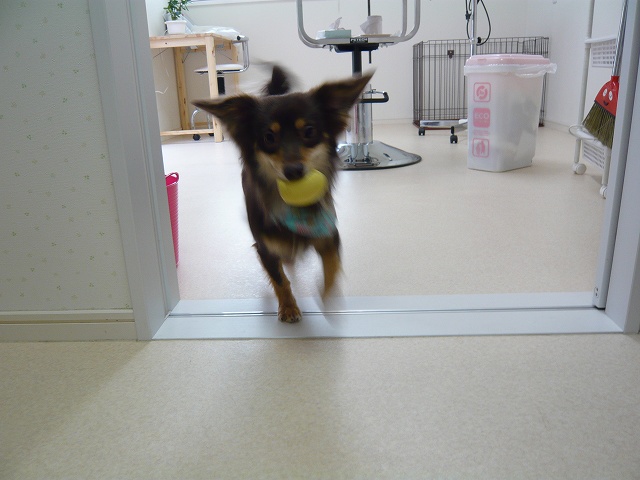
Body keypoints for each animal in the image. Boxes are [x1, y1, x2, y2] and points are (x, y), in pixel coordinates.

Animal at [193, 66, 372, 322]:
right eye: (269, 137)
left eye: (309, 131)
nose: (294, 171)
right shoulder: (264, 248)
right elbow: (280, 280)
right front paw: (288, 307)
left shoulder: (329, 234)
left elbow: (332, 265)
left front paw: (327, 297)